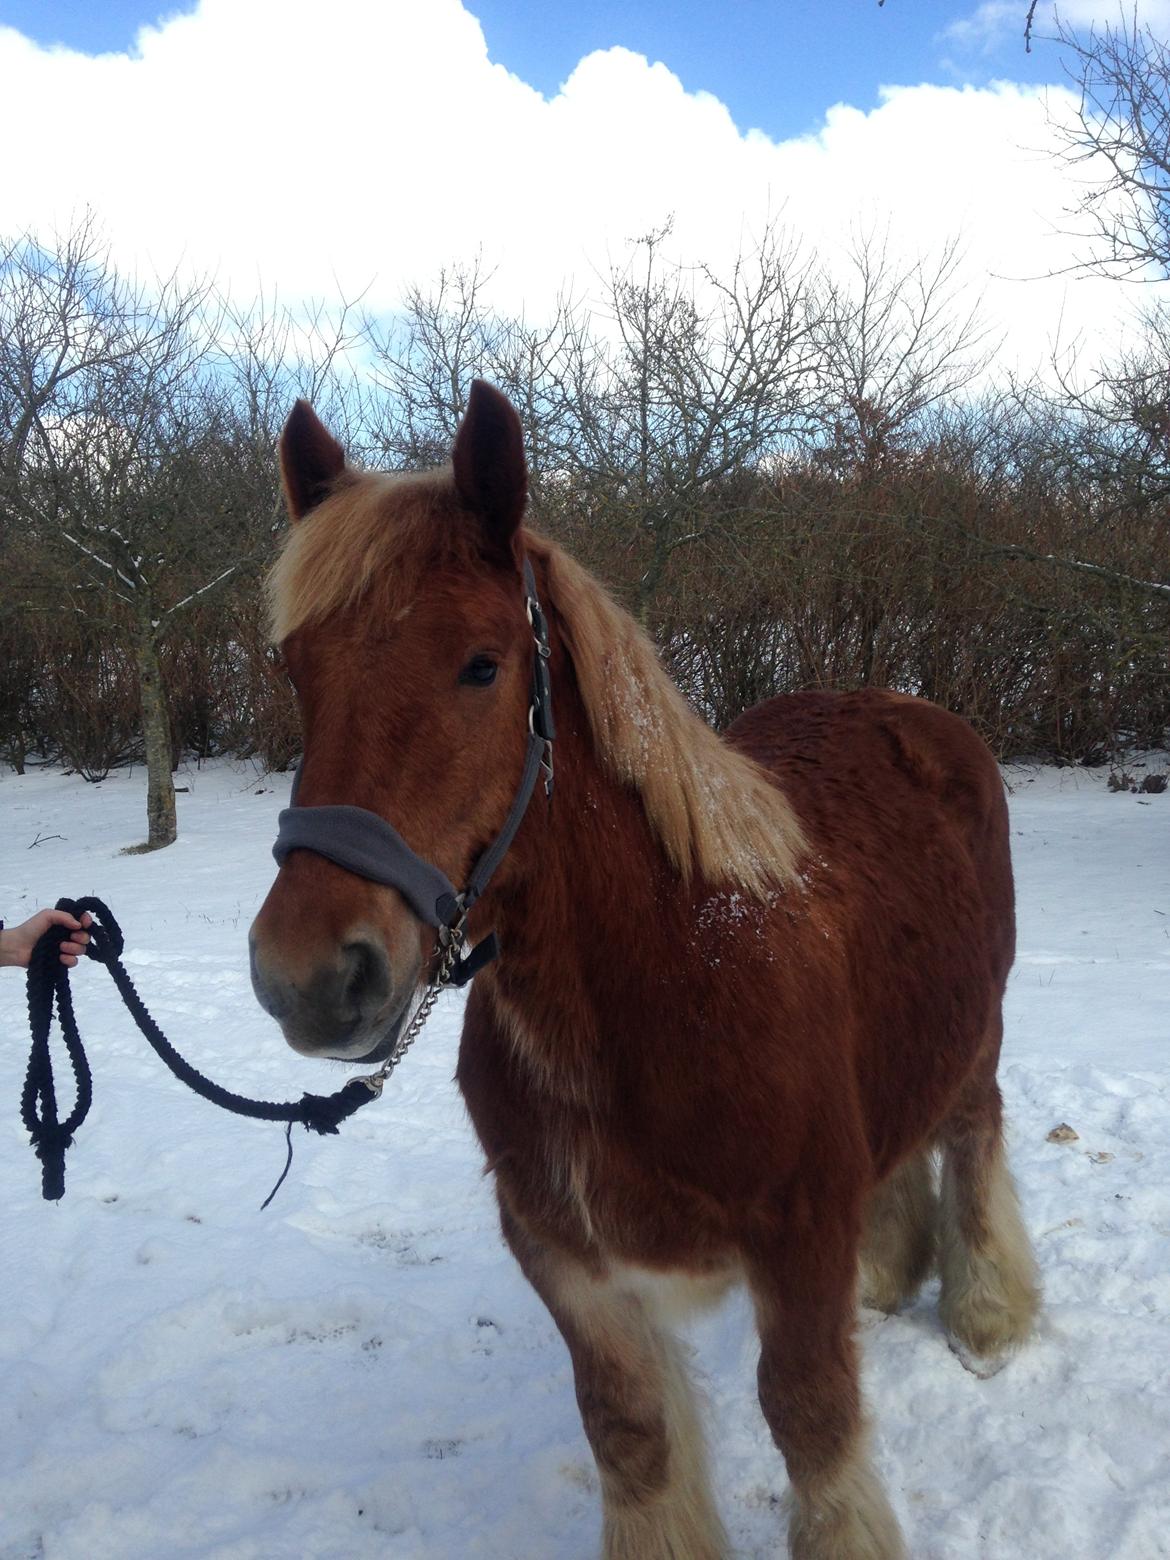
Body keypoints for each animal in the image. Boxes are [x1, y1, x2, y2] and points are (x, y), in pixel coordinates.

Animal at [252, 380, 1042, 1560]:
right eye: (299, 668)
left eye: (482, 664)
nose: (306, 975)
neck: (663, 983)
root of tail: (911, 709)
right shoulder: (571, 1266)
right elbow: (630, 1435)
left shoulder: (797, 1244)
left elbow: (810, 1416)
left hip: (975, 1034)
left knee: (973, 1142)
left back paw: (987, 1313)